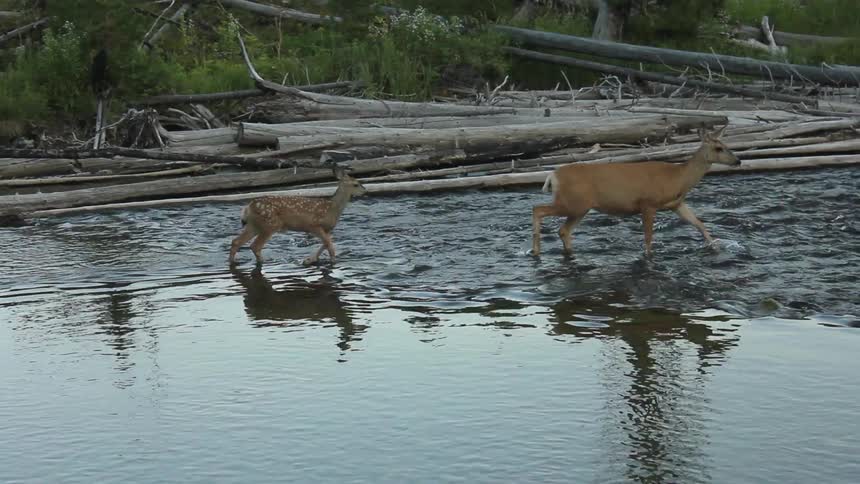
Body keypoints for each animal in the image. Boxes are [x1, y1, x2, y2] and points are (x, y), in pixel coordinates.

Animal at [229, 165, 368, 266]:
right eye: (356, 184)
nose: (365, 191)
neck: (332, 208)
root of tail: (248, 207)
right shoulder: (313, 225)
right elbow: (329, 243)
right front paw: (332, 261)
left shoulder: (327, 229)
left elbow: (326, 243)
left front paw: (309, 260)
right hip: (270, 224)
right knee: (255, 246)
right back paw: (264, 262)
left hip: (255, 225)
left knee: (236, 241)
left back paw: (233, 262)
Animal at [532, 125, 740, 257]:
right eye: (718, 148)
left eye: (727, 146)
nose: (738, 161)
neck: (678, 177)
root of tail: (553, 175)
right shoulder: (648, 203)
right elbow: (648, 238)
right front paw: (648, 256)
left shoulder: (676, 204)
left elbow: (700, 225)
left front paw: (716, 247)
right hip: (573, 203)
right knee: (538, 209)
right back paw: (536, 251)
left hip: (580, 207)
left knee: (563, 230)